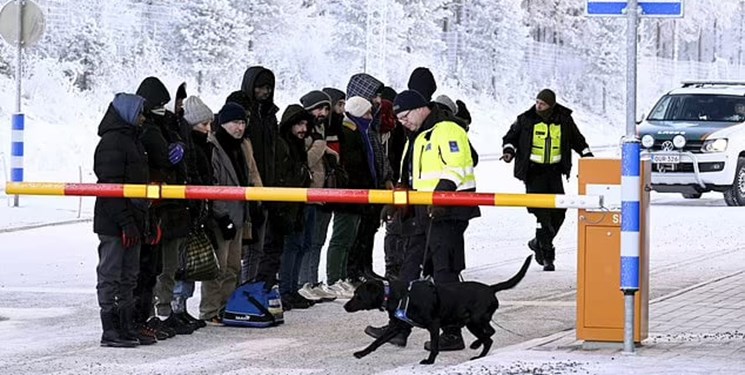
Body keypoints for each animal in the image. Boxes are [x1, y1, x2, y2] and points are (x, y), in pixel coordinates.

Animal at [342, 256, 528, 364]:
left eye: (358, 295)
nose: (345, 306)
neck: (396, 294)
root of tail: (491, 289)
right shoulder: (398, 326)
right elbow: (377, 341)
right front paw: (362, 353)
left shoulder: (433, 324)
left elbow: (434, 346)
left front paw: (429, 361)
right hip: (472, 323)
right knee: (489, 337)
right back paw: (478, 354)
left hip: (476, 320)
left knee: (489, 333)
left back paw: (476, 345)